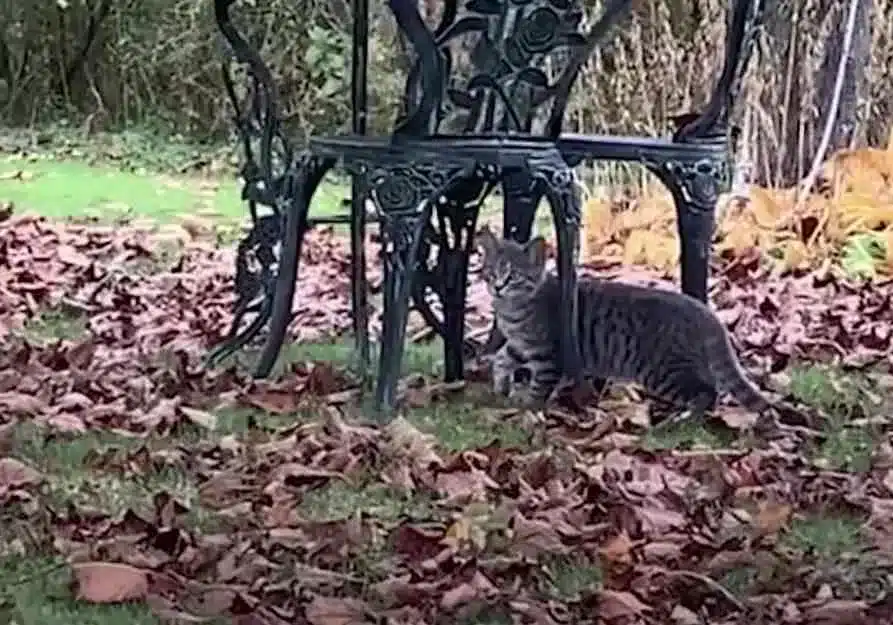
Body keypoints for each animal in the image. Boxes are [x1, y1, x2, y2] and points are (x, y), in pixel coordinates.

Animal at [474, 224, 772, 420]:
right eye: (490, 272)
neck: (514, 311)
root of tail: (706, 313)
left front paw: (527, 408)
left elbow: (539, 387)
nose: (497, 287)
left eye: (514, 276)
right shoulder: (519, 345)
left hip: (664, 371)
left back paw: (682, 420)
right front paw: (501, 388)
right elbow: (501, 359)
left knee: (707, 393)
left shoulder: (549, 356)